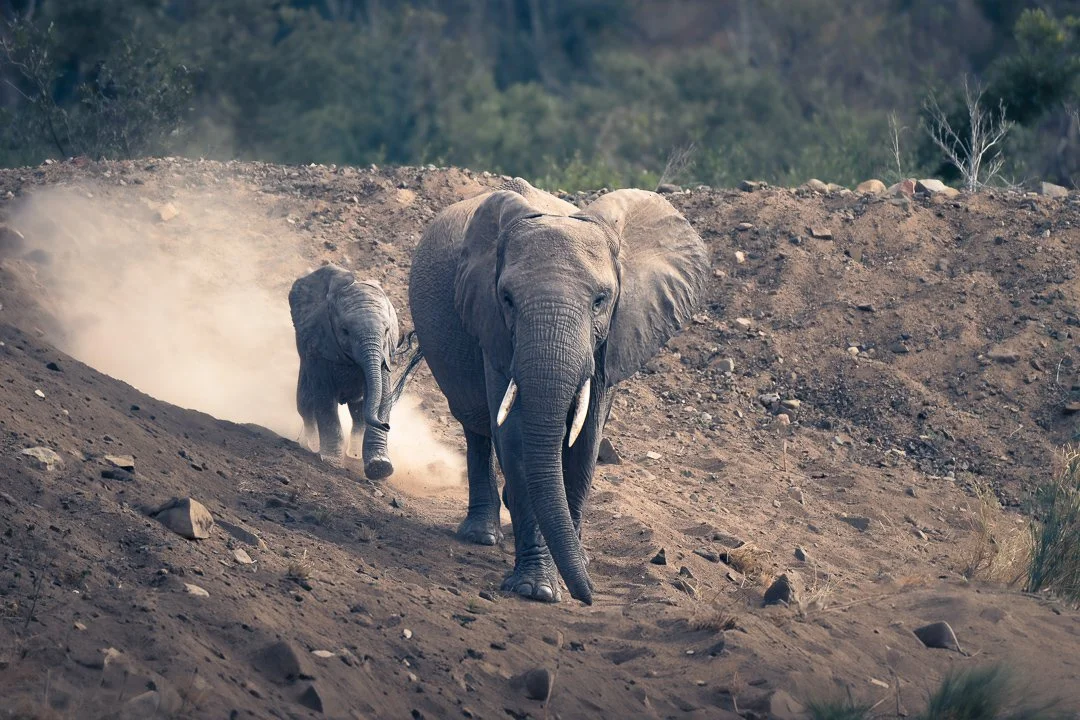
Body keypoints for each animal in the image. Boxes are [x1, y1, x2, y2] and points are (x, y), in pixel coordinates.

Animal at [289, 264, 421, 480]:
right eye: (345, 331)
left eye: (387, 331)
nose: (387, 425)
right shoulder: (319, 346)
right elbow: (324, 399)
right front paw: (331, 461)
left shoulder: (384, 354)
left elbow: (382, 395)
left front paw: (380, 468)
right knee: (306, 405)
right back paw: (311, 446)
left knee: (358, 411)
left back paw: (354, 454)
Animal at [408, 177, 708, 604]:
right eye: (506, 299)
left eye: (600, 300)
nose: (590, 597)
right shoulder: (494, 330)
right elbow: (517, 436)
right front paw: (538, 590)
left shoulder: (610, 339)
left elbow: (583, 444)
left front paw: (577, 565)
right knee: (477, 429)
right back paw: (481, 536)